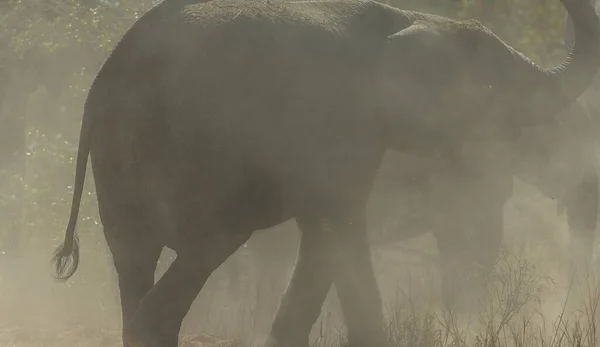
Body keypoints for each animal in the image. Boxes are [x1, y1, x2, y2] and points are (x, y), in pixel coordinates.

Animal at [50, 0, 600, 347]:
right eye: (493, 86)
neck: (412, 18)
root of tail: (104, 82)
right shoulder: (346, 132)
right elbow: (338, 231)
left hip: (121, 165)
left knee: (134, 260)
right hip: (204, 158)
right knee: (205, 250)